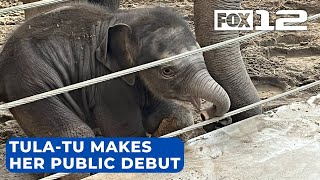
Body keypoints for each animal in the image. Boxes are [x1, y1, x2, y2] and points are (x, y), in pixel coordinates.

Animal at [0, 2, 230, 137]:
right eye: (167, 71)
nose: (207, 113)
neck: (125, 19)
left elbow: (176, 115)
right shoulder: (106, 81)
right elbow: (126, 132)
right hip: (30, 86)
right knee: (76, 133)